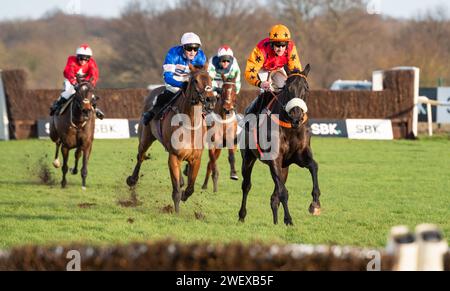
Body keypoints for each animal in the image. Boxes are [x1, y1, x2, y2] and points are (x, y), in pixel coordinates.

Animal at [126, 64, 216, 213]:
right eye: (195, 80)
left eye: (211, 79)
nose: (211, 100)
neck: (190, 125)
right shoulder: (174, 156)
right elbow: (176, 190)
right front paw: (176, 211)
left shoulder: (196, 159)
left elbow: (190, 188)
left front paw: (185, 193)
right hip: (145, 137)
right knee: (140, 156)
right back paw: (132, 179)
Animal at [239, 65, 320, 227]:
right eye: (288, 88)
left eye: (306, 88)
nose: (296, 116)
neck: (290, 128)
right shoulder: (274, 160)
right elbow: (283, 192)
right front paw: (289, 219)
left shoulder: (300, 157)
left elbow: (314, 166)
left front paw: (315, 204)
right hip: (248, 158)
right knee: (247, 185)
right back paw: (241, 216)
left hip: (284, 167)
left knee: (274, 194)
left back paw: (276, 221)